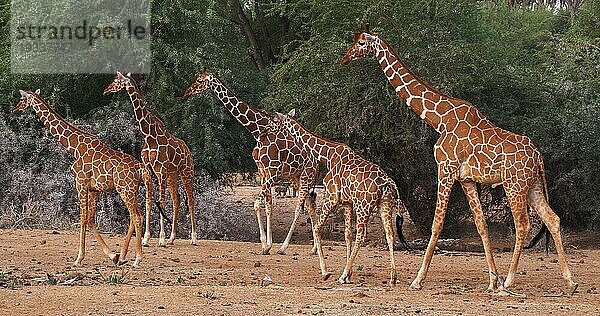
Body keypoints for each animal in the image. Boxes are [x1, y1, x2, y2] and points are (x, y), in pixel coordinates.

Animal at [12, 88, 146, 266]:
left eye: (22, 99)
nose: (14, 110)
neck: (74, 147)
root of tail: (140, 168)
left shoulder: (80, 182)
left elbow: (82, 217)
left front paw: (79, 258)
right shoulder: (94, 189)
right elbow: (90, 219)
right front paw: (113, 255)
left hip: (125, 189)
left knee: (136, 216)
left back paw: (137, 259)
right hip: (132, 190)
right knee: (137, 215)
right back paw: (124, 256)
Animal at [102, 72, 197, 247]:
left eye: (116, 81)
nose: (106, 91)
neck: (149, 135)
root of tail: (188, 150)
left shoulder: (160, 171)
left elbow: (161, 201)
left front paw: (161, 239)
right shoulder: (148, 169)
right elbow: (148, 201)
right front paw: (146, 238)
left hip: (187, 172)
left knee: (191, 199)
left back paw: (193, 238)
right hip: (173, 175)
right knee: (177, 200)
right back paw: (172, 238)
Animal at [185, 68, 322, 254]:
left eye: (199, 81)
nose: (186, 93)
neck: (259, 131)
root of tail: (316, 163)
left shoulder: (272, 172)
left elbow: (257, 204)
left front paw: (265, 244)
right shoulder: (263, 172)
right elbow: (269, 206)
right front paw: (268, 244)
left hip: (306, 178)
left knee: (299, 210)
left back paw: (284, 247)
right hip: (297, 179)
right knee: (310, 207)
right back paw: (314, 248)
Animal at [270, 110, 408, 286]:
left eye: (275, 120)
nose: (269, 130)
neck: (327, 156)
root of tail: (388, 183)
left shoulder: (332, 197)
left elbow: (317, 228)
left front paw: (327, 272)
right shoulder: (347, 203)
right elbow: (347, 234)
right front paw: (349, 275)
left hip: (363, 206)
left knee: (361, 236)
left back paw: (341, 276)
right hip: (385, 204)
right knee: (389, 234)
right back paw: (392, 277)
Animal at [340, 25, 580, 296]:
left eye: (361, 42)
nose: (345, 58)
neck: (439, 119)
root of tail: (538, 157)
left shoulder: (445, 170)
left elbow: (437, 224)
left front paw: (418, 279)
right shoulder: (466, 179)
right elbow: (481, 225)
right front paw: (491, 281)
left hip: (514, 185)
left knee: (523, 225)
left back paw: (509, 282)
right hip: (533, 186)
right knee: (552, 219)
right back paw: (570, 282)